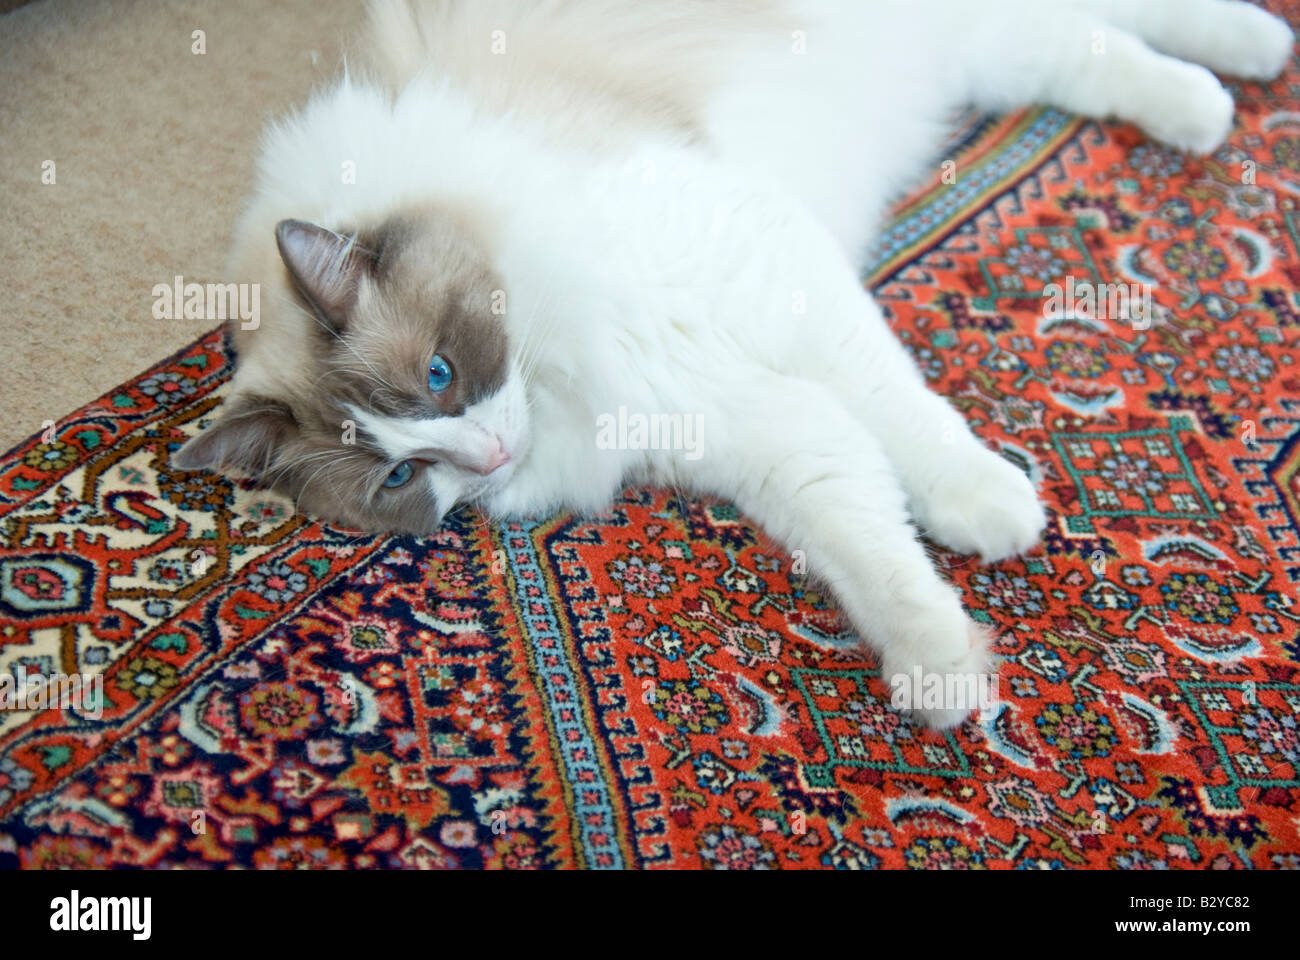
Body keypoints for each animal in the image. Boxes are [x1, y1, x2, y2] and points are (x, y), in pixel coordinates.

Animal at [175, 0, 1300, 718]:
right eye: (401, 475)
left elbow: (912, 428)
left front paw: (991, 509)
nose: (487, 459)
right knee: (1101, 36)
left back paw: (1229, 83)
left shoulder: (773, 277)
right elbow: (869, 537)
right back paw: (1239, 68)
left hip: (971, 43)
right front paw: (940, 669)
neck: (568, 362)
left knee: (1107, 42)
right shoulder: (744, 421)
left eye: (441, 375)